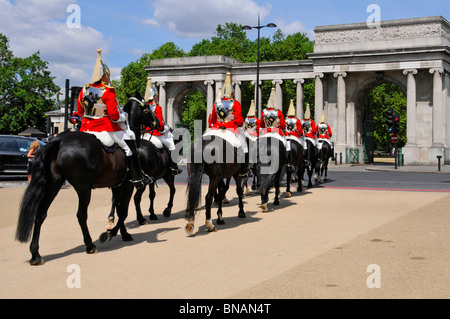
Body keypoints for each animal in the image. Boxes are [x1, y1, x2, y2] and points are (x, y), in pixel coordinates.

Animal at [15, 96, 158, 266]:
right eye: (147, 109)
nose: (158, 123)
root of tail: (59, 141)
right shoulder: (128, 184)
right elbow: (123, 211)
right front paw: (110, 234)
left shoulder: (116, 186)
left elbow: (118, 210)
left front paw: (122, 233)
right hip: (83, 188)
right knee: (81, 215)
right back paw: (90, 245)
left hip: (54, 184)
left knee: (41, 213)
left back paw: (35, 254)